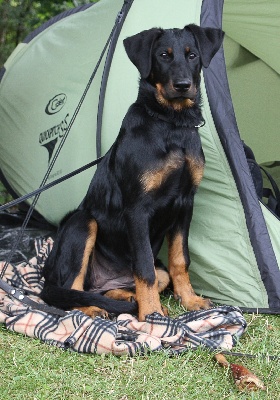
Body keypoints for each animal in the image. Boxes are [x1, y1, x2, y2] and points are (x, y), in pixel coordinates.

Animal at [41, 23, 223, 320]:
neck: (172, 124)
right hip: (82, 222)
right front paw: (151, 316)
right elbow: (144, 268)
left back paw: (126, 298)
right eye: (163, 55)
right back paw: (93, 308)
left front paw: (190, 300)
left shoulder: (186, 203)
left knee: (116, 287)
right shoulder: (138, 208)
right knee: (71, 288)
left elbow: (180, 260)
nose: (183, 86)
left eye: (193, 55)